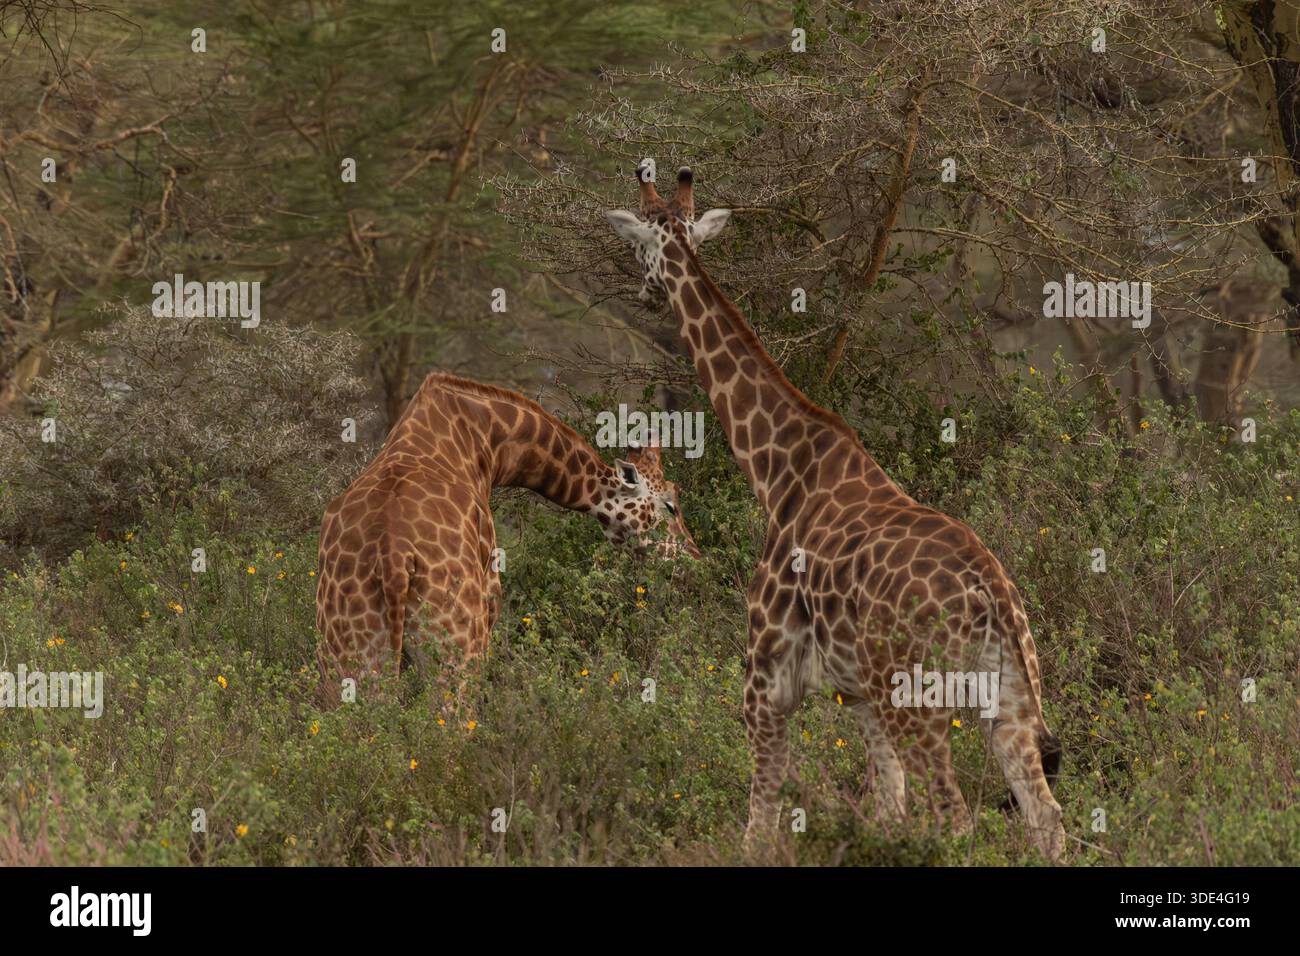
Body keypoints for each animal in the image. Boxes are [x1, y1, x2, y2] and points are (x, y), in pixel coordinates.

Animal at [315, 371, 698, 704]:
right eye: (672, 504)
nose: (695, 560)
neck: (488, 439)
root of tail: (393, 556)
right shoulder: (491, 597)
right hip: (457, 648)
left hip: (346, 656)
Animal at [605, 165, 1066, 860]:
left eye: (638, 248)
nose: (645, 293)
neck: (777, 469)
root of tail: (992, 595)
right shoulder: (856, 695)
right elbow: (887, 808)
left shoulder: (766, 682)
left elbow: (759, 821)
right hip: (1008, 695)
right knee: (1047, 819)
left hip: (918, 696)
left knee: (956, 815)